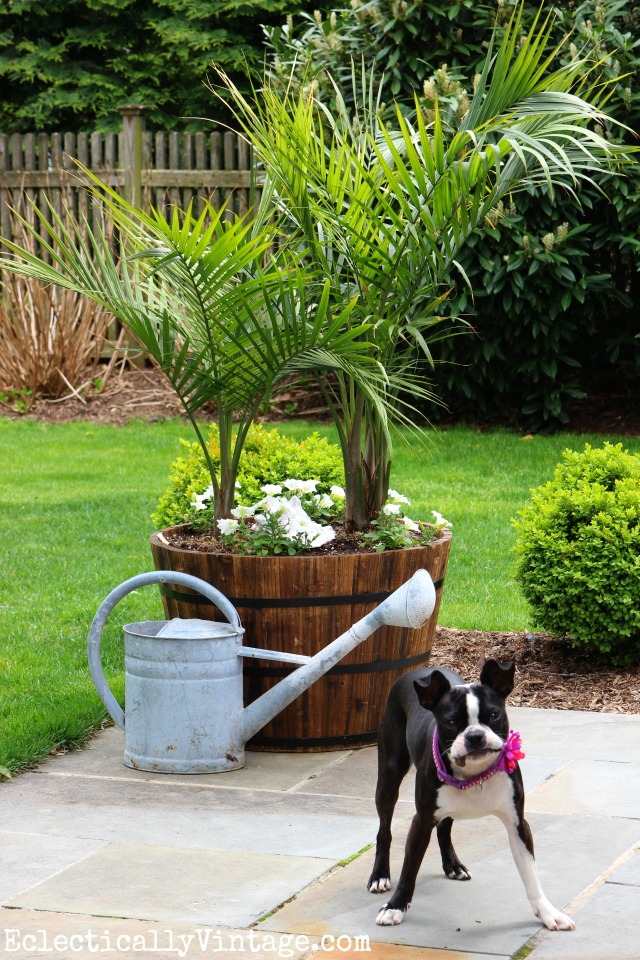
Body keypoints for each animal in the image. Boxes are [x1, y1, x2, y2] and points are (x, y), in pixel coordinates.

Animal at [364, 660, 576, 928]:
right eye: (451, 722)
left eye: (494, 715)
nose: (475, 735)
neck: (475, 774)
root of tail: (419, 671)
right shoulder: (421, 822)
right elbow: (409, 869)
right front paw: (395, 907)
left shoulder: (518, 824)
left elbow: (531, 875)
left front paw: (548, 912)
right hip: (389, 776)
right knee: (384, 830)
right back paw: (380, 875)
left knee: (444, 829)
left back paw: (453, 865)